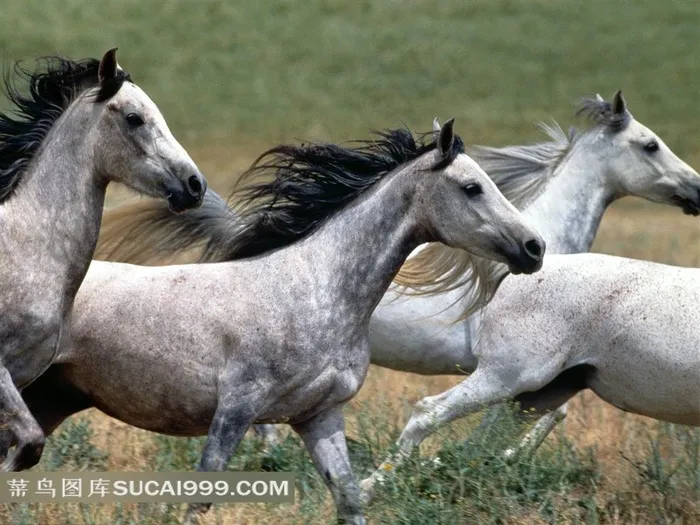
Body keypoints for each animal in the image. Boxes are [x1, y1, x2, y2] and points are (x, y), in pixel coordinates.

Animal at [11, 120, 544, 524]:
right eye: (472, 187)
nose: (534, 248)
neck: (313, 291)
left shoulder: (319, 417)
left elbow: (349, 500)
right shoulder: (235, 410)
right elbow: (200, 498)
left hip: (52, 400)